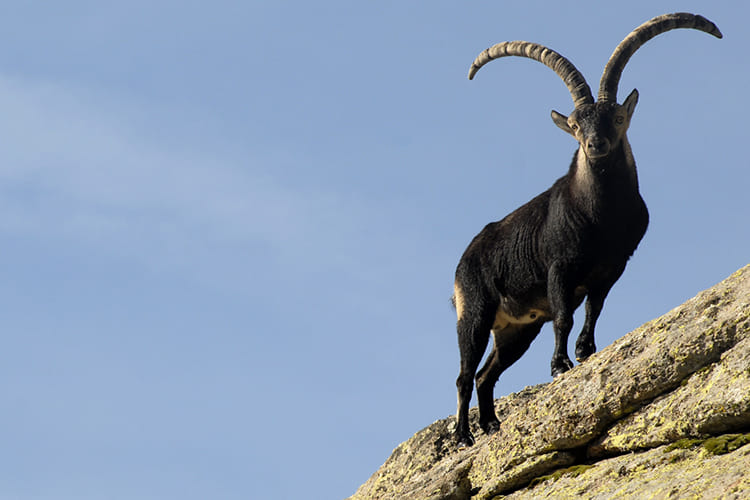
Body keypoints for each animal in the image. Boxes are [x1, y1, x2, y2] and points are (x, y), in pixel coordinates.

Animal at [453, 13, 721, 447]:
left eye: (617, 118)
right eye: (576, 124)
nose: (595, 145)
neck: (600, 218)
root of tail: (466, 256)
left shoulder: (611, 268)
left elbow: (594, 310)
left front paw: (585, 353)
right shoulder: (559, 268)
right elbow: (564, 316)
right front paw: (560, 365)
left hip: (516, 330)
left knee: (485, 374)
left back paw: (492, 425)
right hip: (475, 311)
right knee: (464, 374)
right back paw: (463, 436)